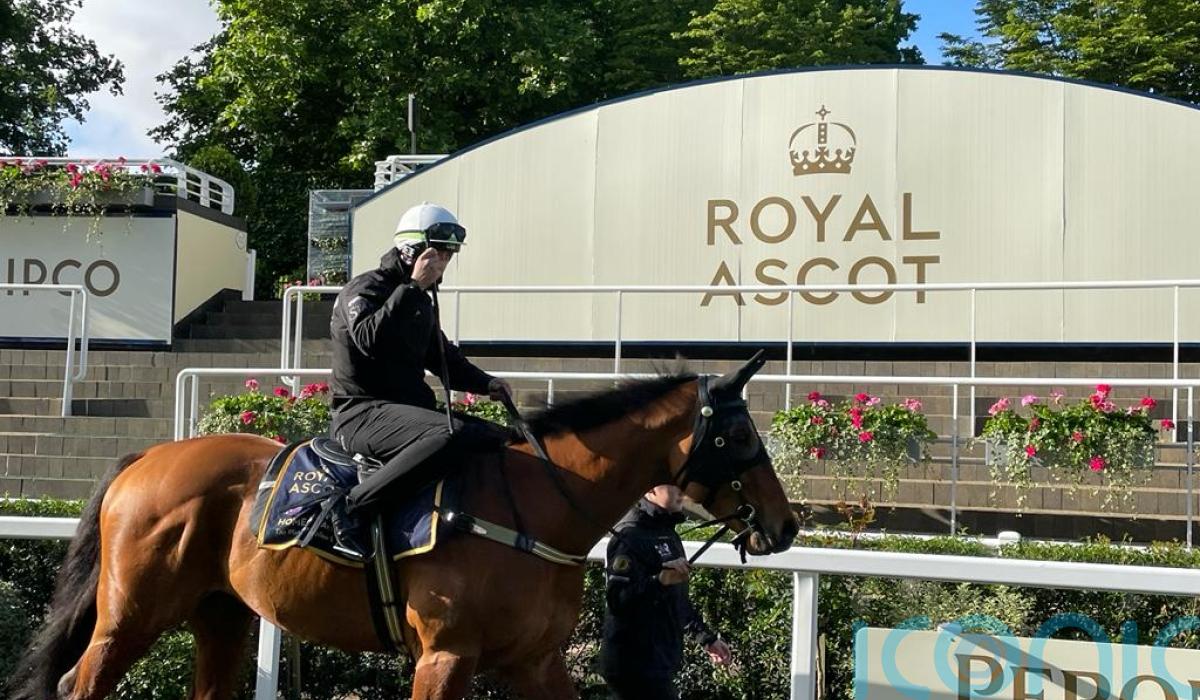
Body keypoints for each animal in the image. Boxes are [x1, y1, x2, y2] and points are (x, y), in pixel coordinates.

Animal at [9, 354, 799, 700]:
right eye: (737, 437)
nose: (786, 524)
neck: (531, 504)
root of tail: (148, 457)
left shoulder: (536, 661)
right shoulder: (444, 656)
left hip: (220, 614)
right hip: (132, 615)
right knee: (80, 683)